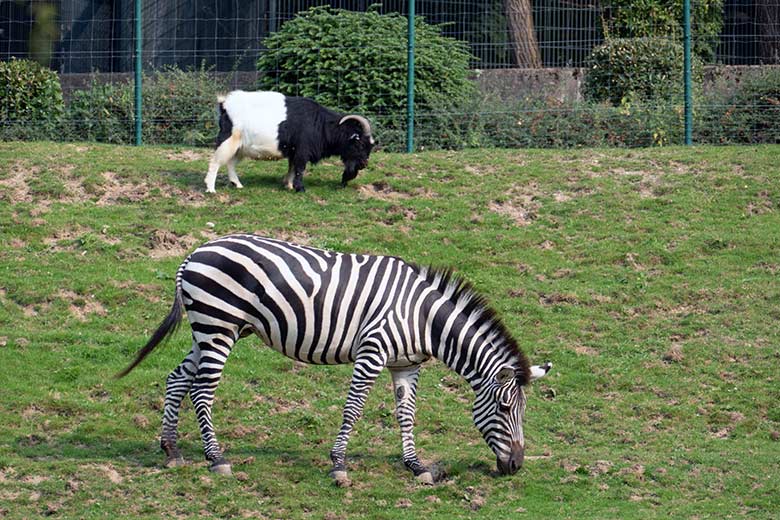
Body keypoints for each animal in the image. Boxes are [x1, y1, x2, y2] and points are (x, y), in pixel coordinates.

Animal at [117, 234, 556, 486]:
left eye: (524, 410)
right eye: (504, 408)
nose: (516, 466)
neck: (423, 318)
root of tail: (193, 254)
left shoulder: (406, 364)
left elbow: (406, 414)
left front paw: (416, 467)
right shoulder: (372, 352)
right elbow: (353, 409)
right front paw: (339, 465)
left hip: (211, 329)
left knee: (178, 379)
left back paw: (172, 450)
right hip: (218, 326)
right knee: (203, 390)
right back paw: (217, 459)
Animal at [204, 91, 374, 193]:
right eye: (360, 144)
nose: (364, 164)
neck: (320, 124)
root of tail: (224, 104)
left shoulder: (294, 151)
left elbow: (292, 168)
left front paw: (289, 185)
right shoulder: (302, 151)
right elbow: (299, 168)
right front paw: (300, 188)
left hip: (240, 147)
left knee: (230, 163)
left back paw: (238, 185)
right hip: (228, 141)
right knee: (216, 162)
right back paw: (211, 189)